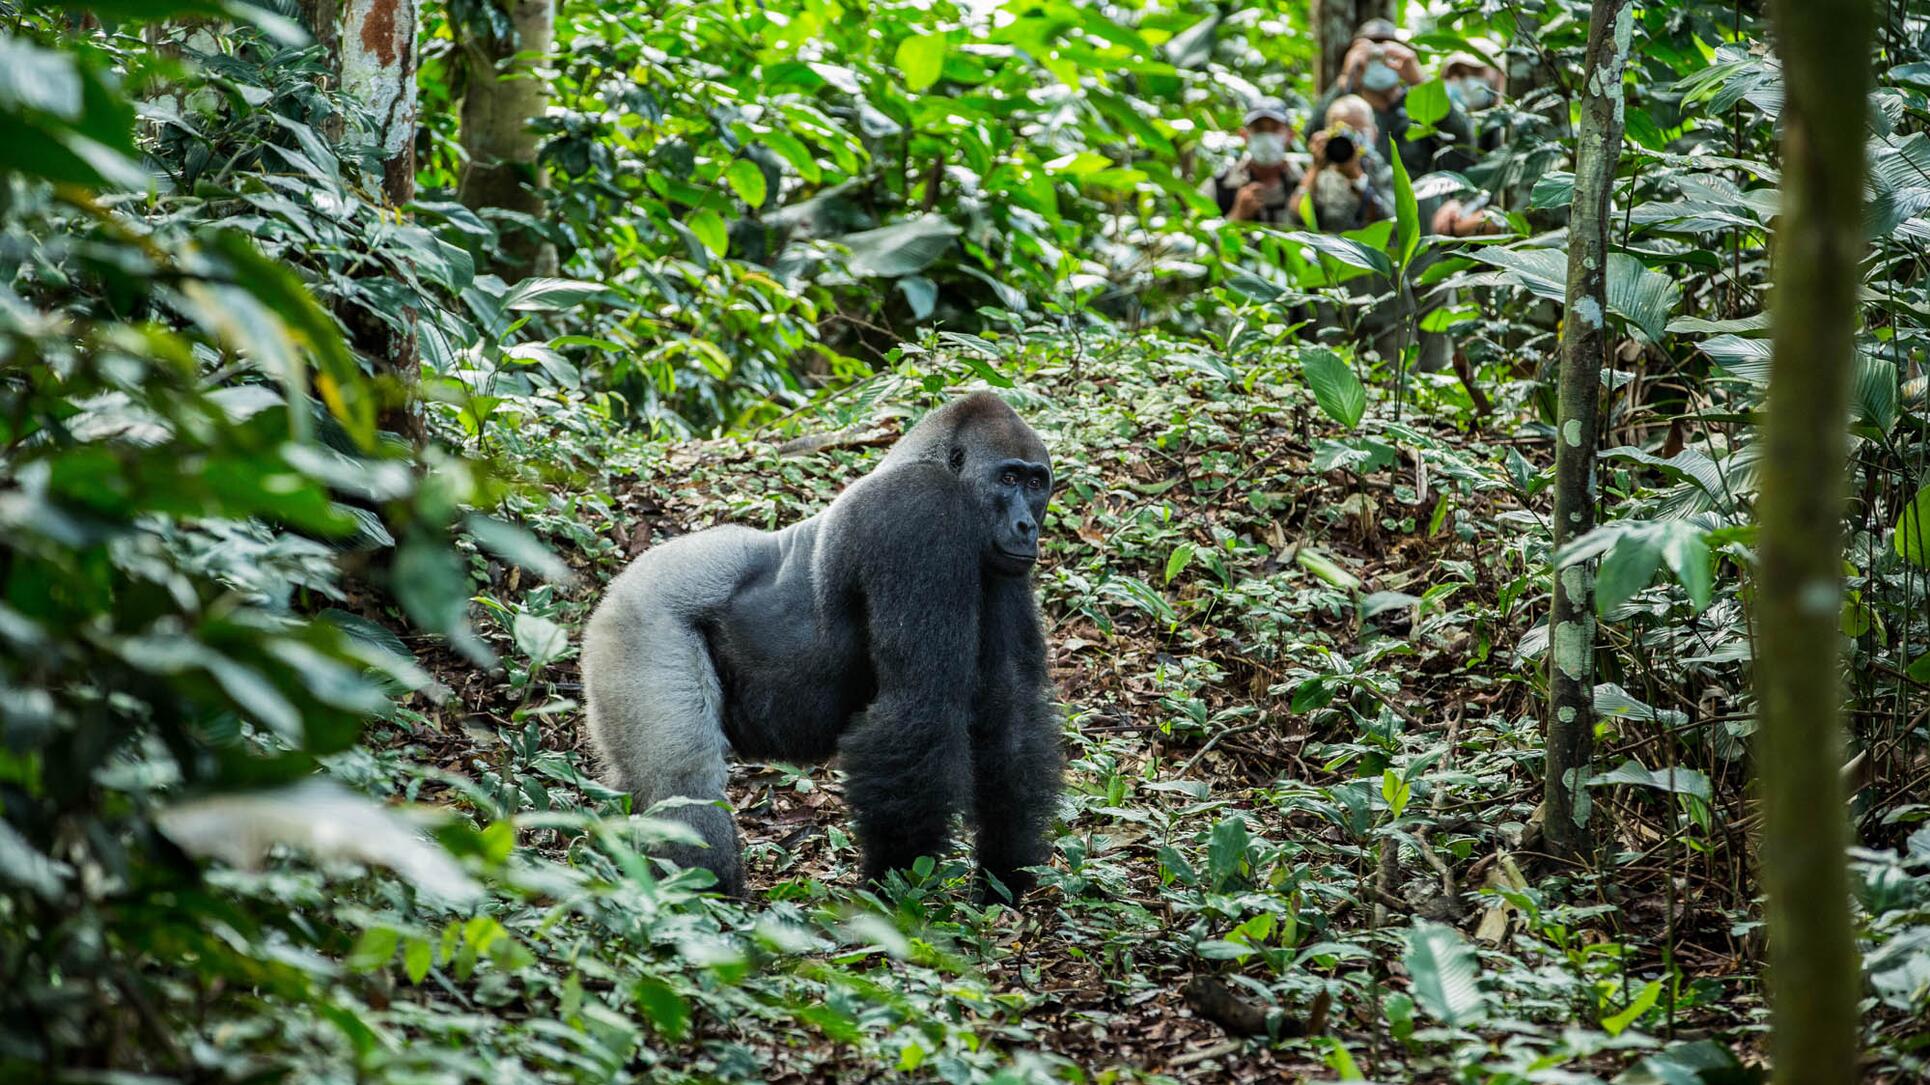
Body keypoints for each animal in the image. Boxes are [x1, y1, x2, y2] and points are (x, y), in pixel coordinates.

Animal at [580, 392, 1063, 900]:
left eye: (1036, 483)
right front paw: (896, 887)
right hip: (640, 619)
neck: (926, 460)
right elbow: (919, 707)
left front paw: (1005, 873)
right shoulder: (920, 514)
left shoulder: (1001, 567)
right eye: (1008, 478)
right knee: (681, 780)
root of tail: (618, 584)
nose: (1026, 526)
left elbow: (1009, 710)